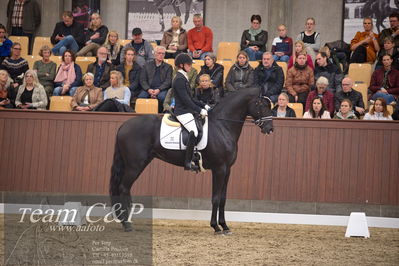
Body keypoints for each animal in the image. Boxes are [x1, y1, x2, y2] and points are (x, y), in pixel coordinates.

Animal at [110, 87, 276, 233]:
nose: (270, 129)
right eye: (262, 105)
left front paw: (225, 226)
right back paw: (127, 224)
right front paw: (216, 227)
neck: (222, 126)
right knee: (124, 188)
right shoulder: (219, 168)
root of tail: (123, 126)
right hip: (135, 165)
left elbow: (223, 198)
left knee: (125, 189)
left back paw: (126, 221)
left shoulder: (227, 169)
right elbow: (216, 198)